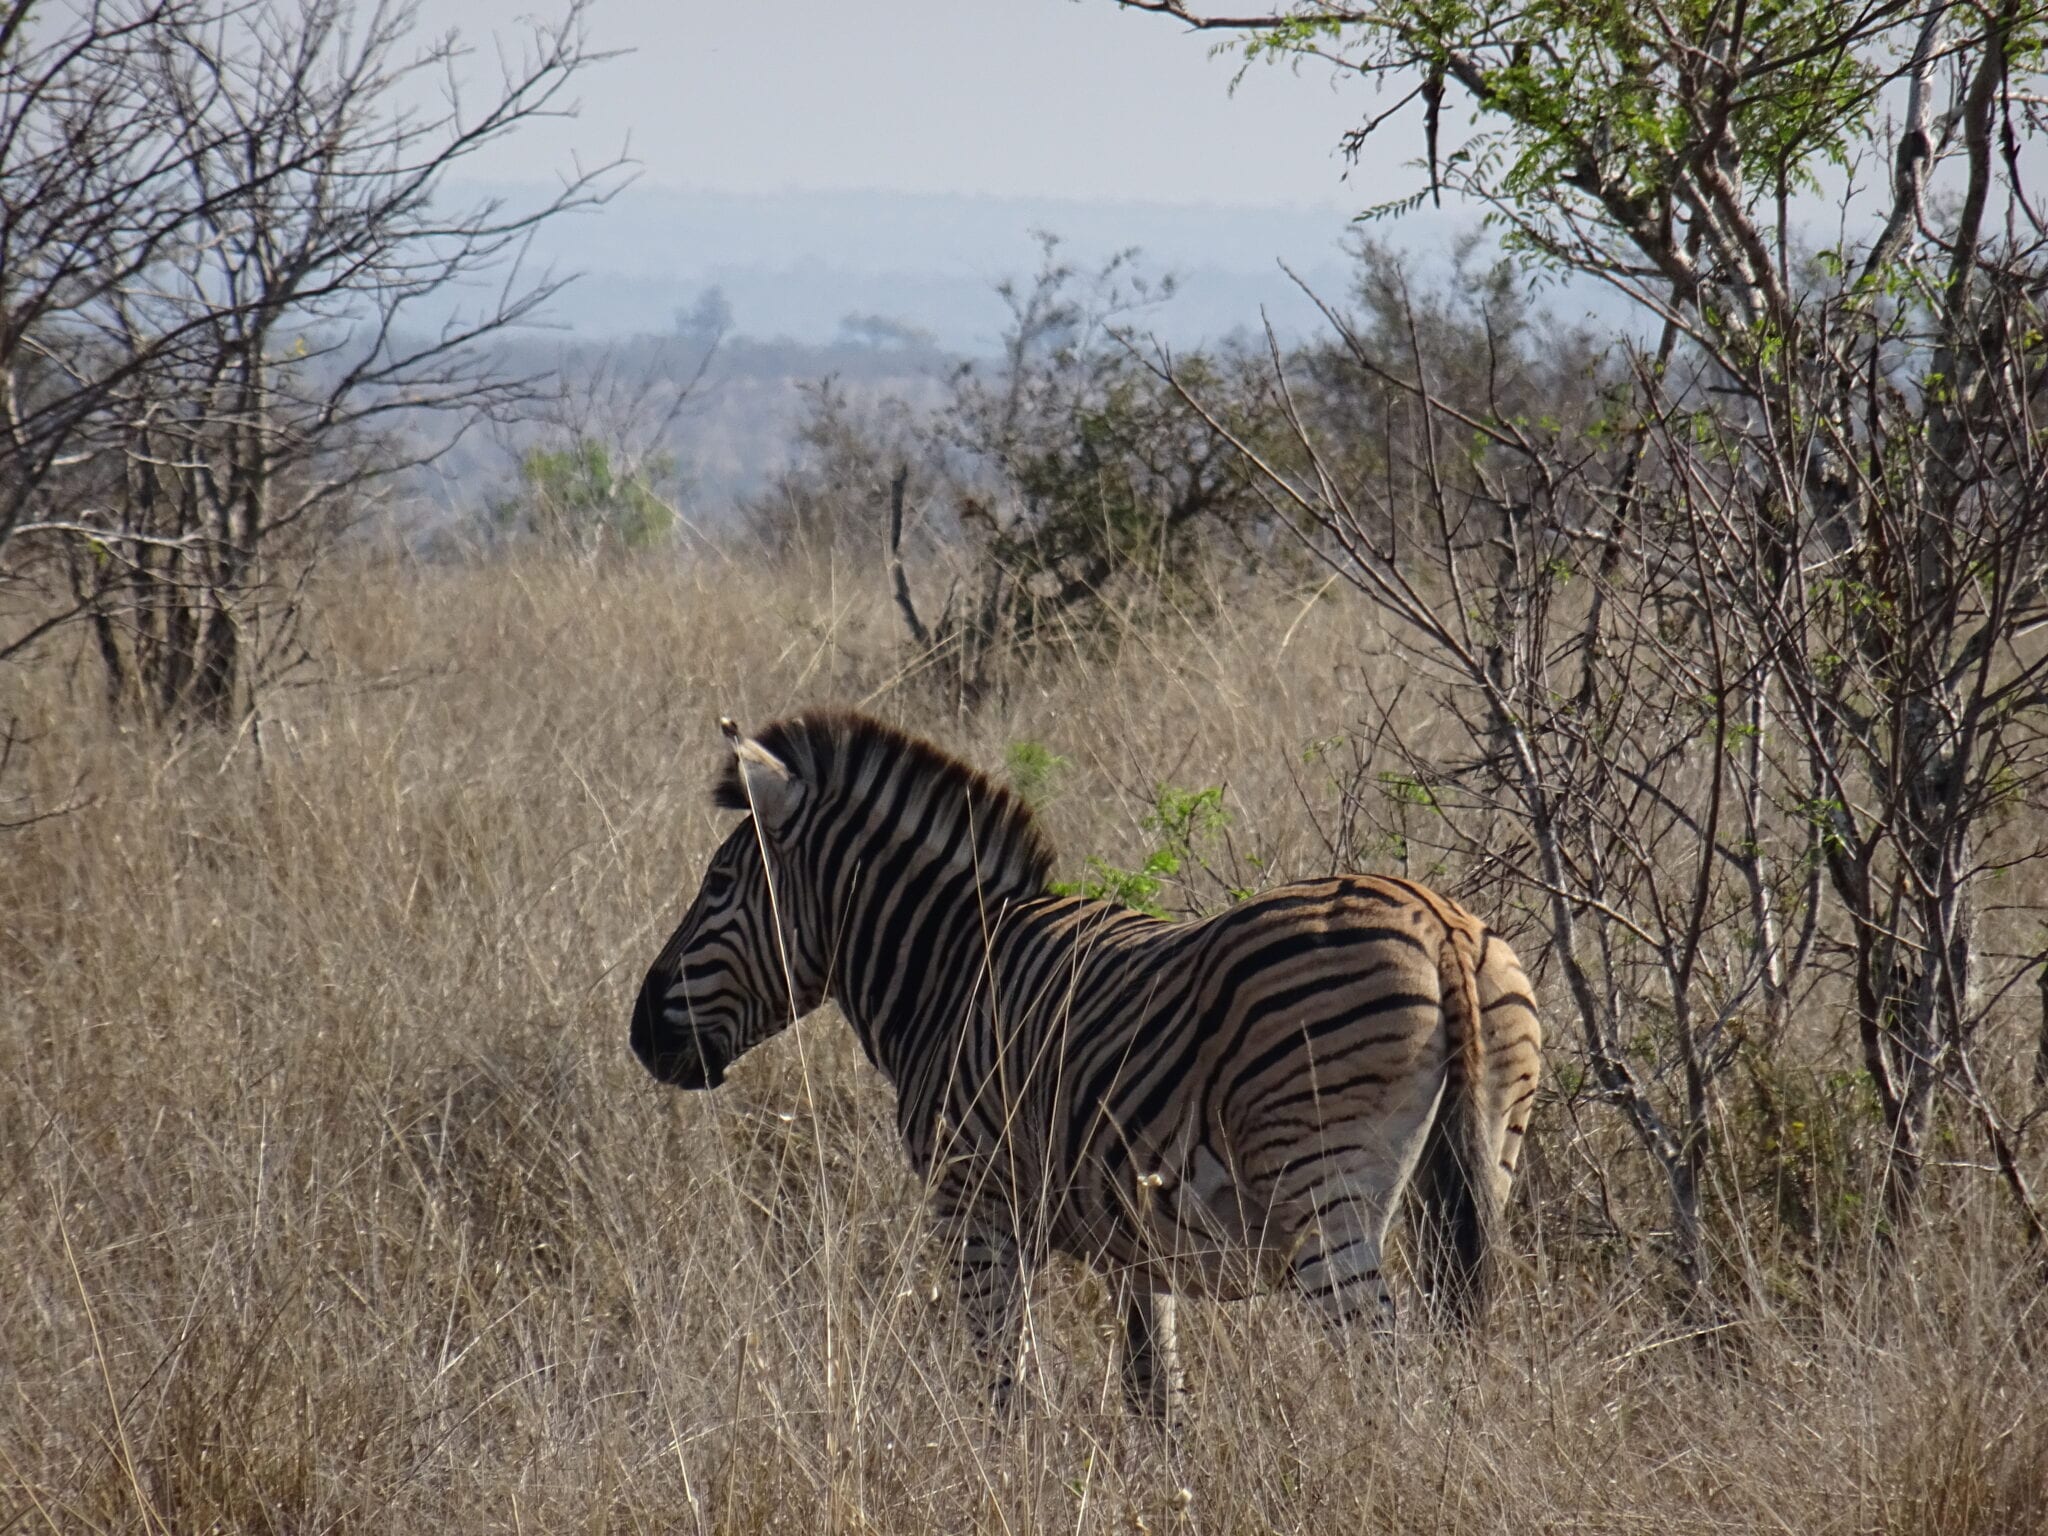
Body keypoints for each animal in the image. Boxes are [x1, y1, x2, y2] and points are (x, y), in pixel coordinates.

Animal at [631, 709, 1542, 1415]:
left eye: (719, 883)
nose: (641, 1035)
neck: (954, 973)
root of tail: (1437, 925)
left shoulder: (975, 1206)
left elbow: (1007, 1387)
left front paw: (1008, 1482)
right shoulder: (1136, 1247)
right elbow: (1154, 1397)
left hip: (1320, 1183)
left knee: (1389, 1368)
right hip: (1484, 1160)